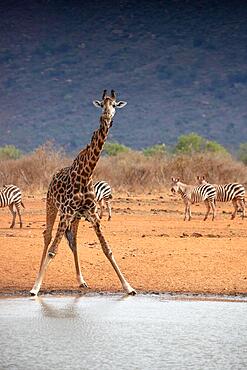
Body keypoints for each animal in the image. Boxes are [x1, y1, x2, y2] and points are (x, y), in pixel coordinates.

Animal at [30, 91, 137, 296]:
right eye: (102, 104)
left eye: (114, 105)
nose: (107, 116)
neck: (86, 174)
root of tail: (54, 174)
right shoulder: (66, 212)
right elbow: (53, 250)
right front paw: (35, 287)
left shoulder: (92, 214)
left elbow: (107, 248)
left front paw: (128, 287)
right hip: (52, 205)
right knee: (47, 236)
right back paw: (38, 276)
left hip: (76, 216)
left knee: (73, 240)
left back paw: (81, 280)